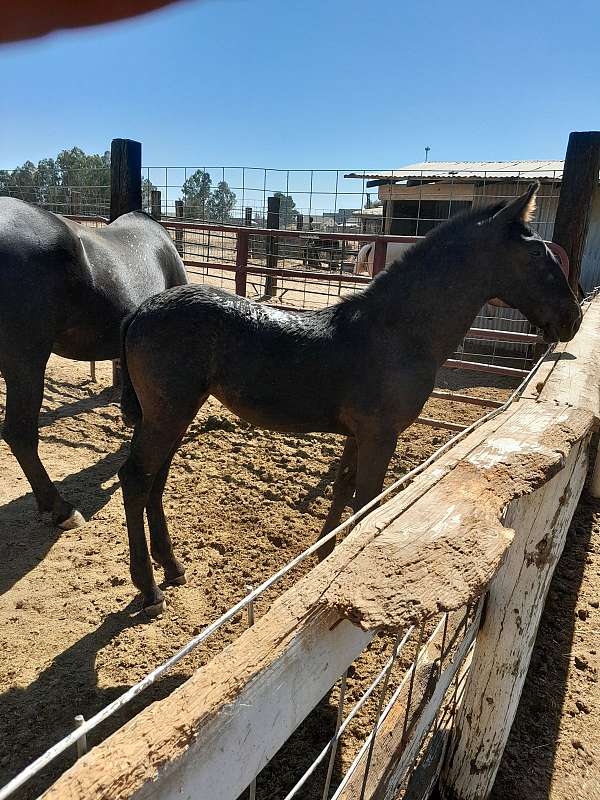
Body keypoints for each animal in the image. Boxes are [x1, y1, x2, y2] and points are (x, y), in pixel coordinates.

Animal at [117, 186, 580, 612]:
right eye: (537, 255)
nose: (572, 319)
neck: (396, 334)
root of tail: (139, 312)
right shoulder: (380, 435)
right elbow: (366, 502)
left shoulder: (359, 434)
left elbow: (343, 490)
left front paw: (324, 556)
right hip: (168, 412)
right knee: (136, 478)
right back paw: (150, 589)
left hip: (176, 412)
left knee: (156, 478)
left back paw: (172, 567)